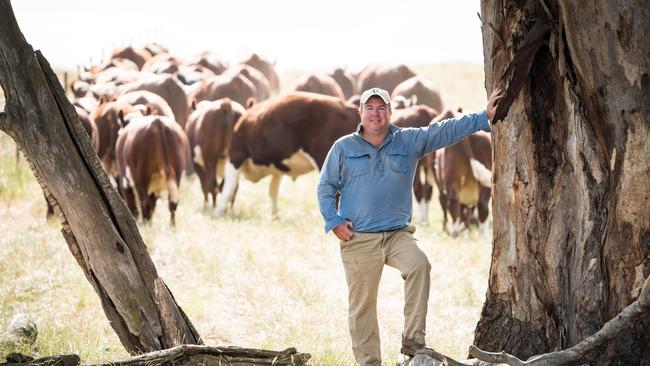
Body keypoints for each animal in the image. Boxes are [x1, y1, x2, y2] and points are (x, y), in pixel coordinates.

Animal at [213, 93, 356, 216]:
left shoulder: (236, 156)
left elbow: (227, 189)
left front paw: (218, 213)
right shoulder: (277, 169)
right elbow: (273, 191)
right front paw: (274, 215)